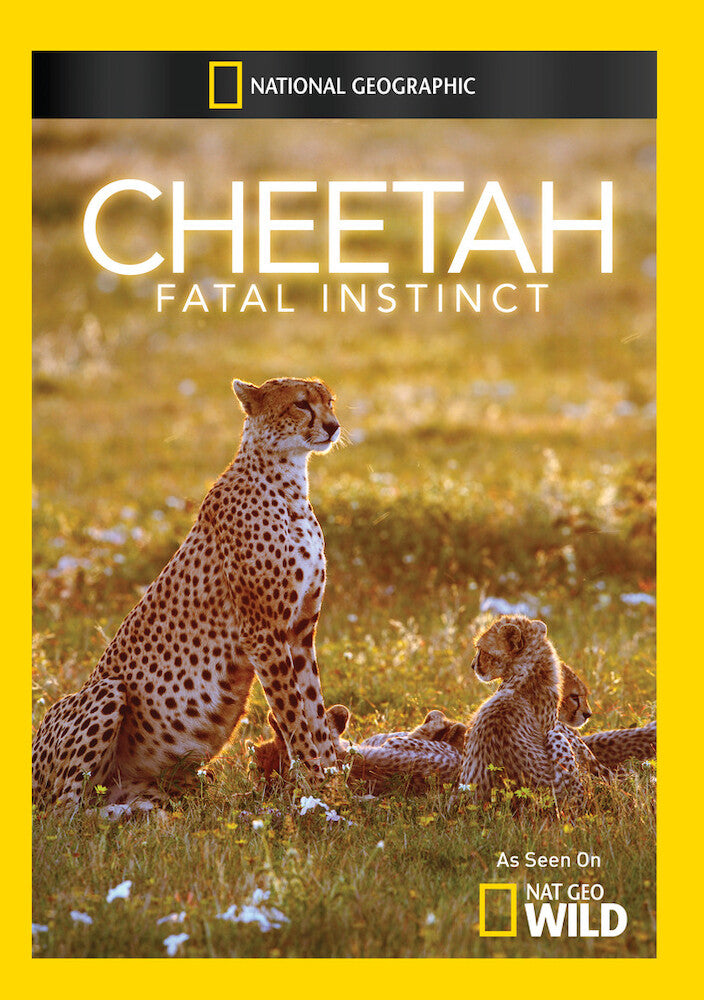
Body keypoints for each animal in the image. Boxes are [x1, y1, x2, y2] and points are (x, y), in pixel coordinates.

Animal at [32, 376, 344, 812]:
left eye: (329, 401)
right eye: (301, 404)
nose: (333, 426)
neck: (287, 482)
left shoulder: (299, 632)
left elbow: (314, 710)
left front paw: (336, 788)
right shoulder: (263, 634)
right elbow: (295, 717)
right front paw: (317, 792)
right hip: (105, 691)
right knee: (64, 814)